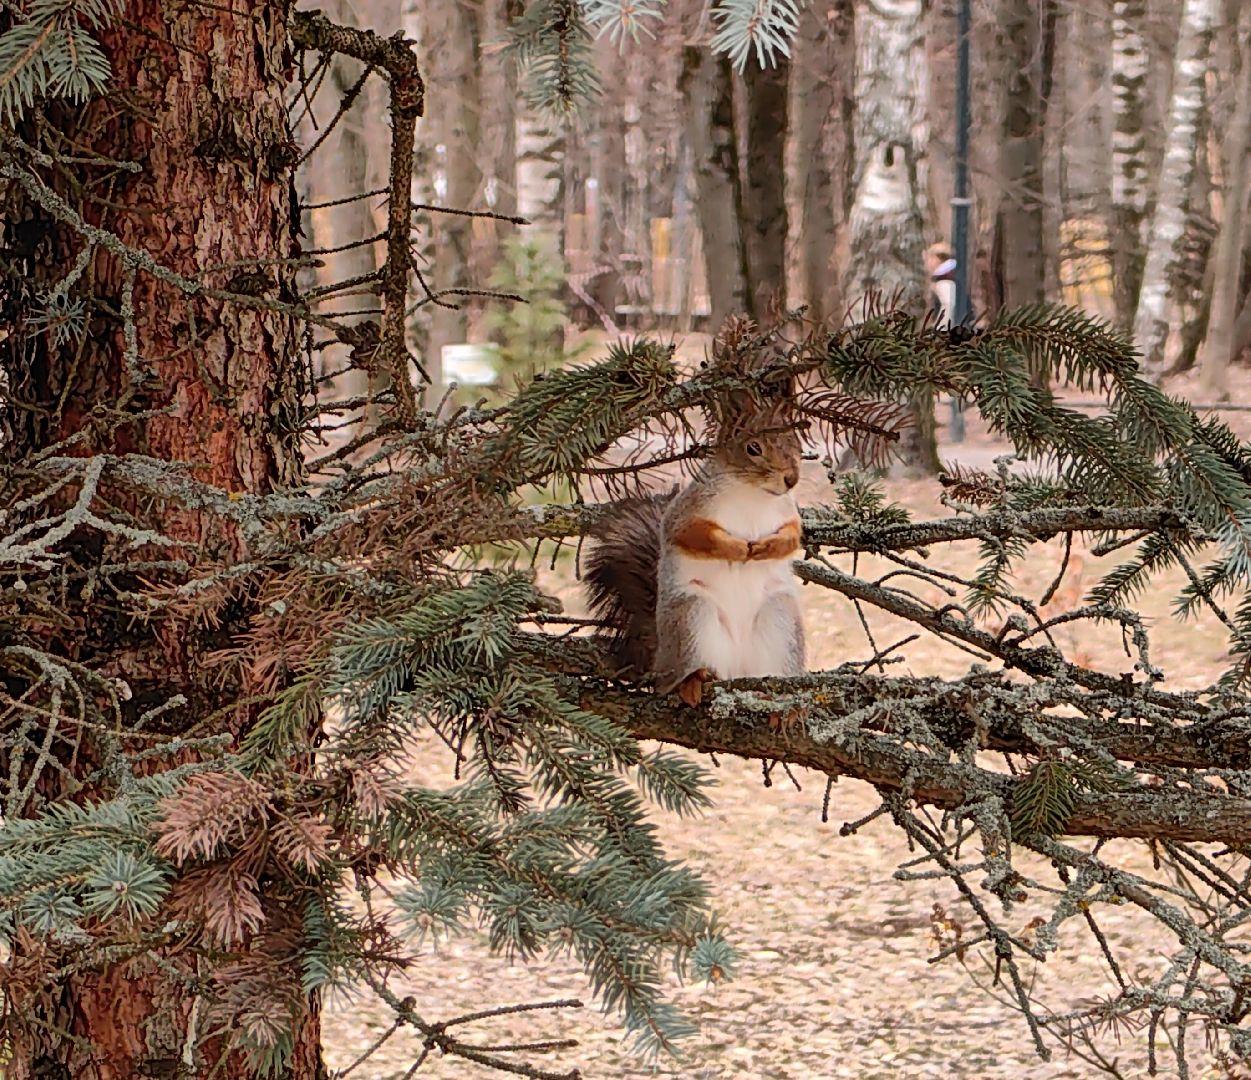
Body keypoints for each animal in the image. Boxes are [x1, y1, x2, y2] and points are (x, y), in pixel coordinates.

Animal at [584, 381, 806, 707]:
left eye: (796, 444)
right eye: (753, 448)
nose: (792, 479)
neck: (754, 494)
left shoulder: (788, 514)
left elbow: (792, 537)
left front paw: (770, 547)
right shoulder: (686, 513)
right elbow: (696, 535)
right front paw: (735, 548)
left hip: (780, 618)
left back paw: (772, 697)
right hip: (691, 617)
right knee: (671, 682)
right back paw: (691, 682)